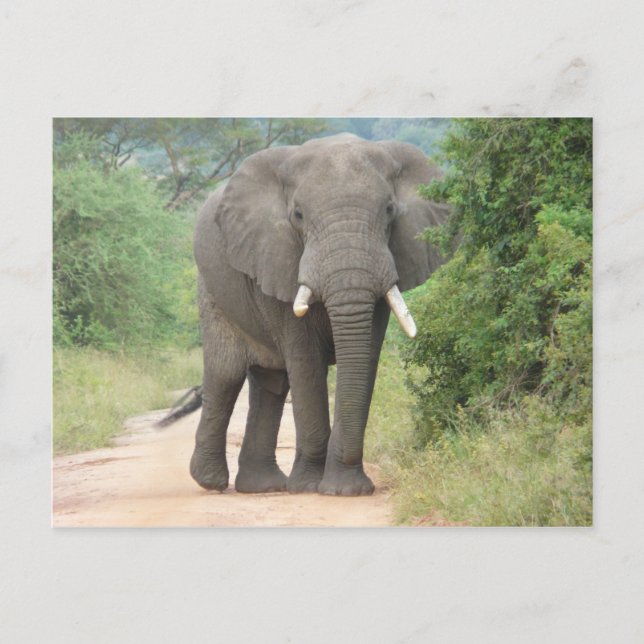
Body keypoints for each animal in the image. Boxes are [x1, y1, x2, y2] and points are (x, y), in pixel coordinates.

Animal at [190, 133, 447, 496]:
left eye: (389, 210)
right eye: (298, 214)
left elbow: (365, 356)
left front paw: (345, 489)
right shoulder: (278, 258)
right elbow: (306, 361)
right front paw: (312, 486)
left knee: (271, 382)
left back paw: (263, 487)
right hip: (212, 290)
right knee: (226, 373)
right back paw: (211, 481)